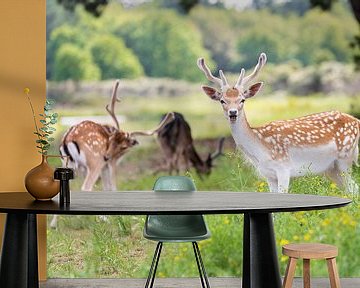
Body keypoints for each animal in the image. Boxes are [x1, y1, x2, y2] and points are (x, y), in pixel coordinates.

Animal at [198, 53, 358, 194]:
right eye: (222, 100)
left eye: (242, 99)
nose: (233, 113)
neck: (260, 149)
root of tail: (357, 121)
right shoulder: (268, 174)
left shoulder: (284, 167)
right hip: (331, 168)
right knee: (353, 189)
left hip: (345, 158)